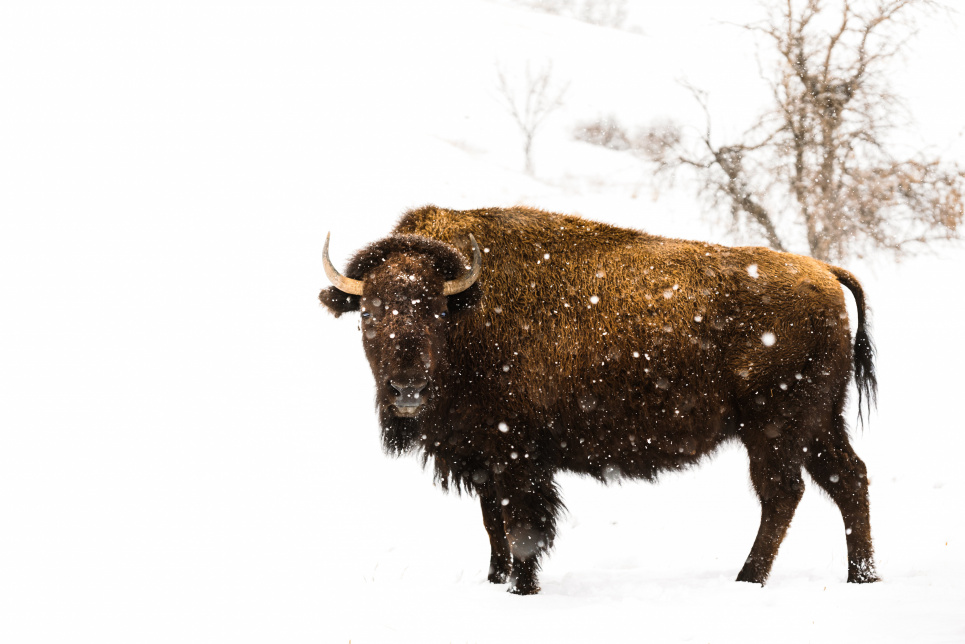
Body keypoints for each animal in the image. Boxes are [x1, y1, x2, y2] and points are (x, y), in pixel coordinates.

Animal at [320, 205, 876, 592]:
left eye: (434, 309)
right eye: (368, 313)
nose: (406, 389)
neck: (469, 311)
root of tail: (824, 272)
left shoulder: (517, 457)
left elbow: (521, 525)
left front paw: (523, 589)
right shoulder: (482, 457)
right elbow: (492, 523)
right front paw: (496, 581)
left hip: (773, 428)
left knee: (783, 493)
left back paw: (748, 580)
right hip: (819, 422)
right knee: (848, 478)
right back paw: (862, 577)